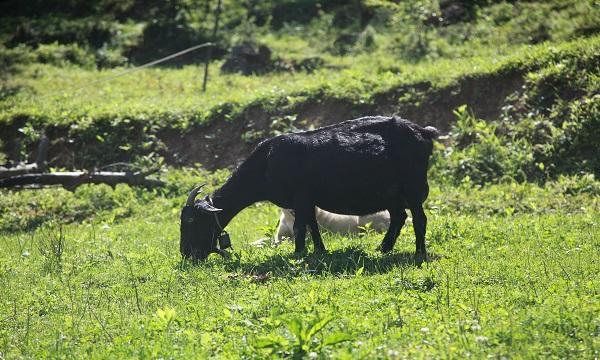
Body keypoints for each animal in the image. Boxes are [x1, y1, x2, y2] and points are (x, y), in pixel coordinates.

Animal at [180, 116, 438, 262]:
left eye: (192, 220)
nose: (186, 254)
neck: (266, 163)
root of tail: (423, 132)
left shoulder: (301, 198)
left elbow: (299, 227)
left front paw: (298, 254)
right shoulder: (305, 200)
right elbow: (312, 226)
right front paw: (319, 251)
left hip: (412, 186)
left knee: (418, 219)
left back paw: (419, 253)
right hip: (391, 193)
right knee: (399, 217)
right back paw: (382, 249)